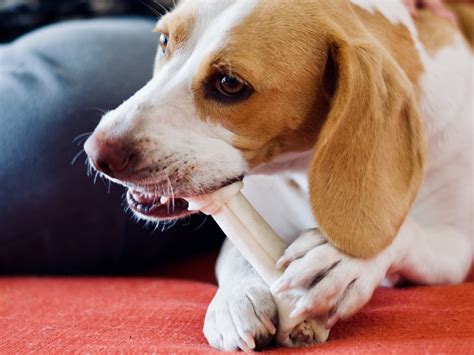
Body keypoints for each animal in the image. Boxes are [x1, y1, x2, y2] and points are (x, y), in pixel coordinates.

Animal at [83, 0, 472, 350]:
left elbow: (406, 233)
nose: (96, 152)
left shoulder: (457, 247)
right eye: (164, 40)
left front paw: (342, 259)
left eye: (229, 83)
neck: (300, 169)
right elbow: (239, 252)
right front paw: (237, 297)